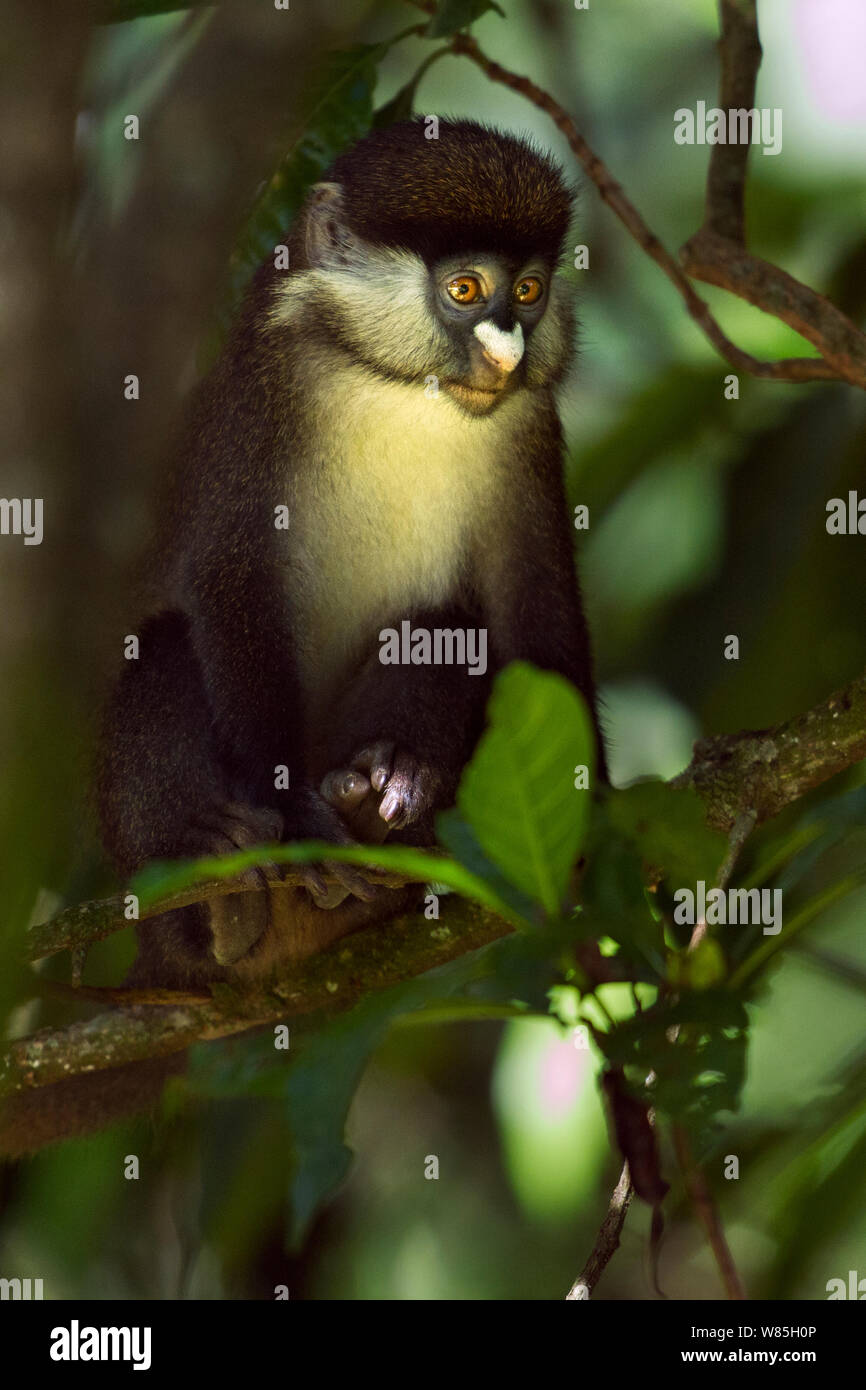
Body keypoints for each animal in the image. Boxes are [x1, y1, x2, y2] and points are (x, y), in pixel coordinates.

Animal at [0, 118, 605, 1154]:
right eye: (467, 290)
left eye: (528, 291)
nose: (506, 352)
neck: (397, 387)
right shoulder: (264, 395)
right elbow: (230, 582)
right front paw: (289, 819)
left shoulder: (527, 431)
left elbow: (534, 623)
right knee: (164, 642)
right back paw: (228, 886)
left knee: (446, 628)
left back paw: (385, 798)